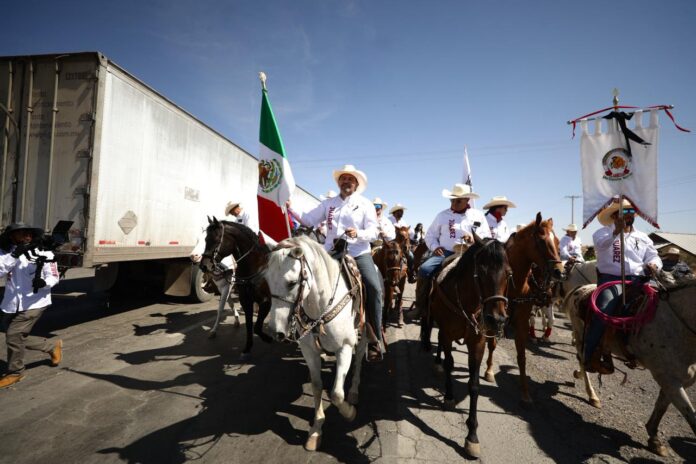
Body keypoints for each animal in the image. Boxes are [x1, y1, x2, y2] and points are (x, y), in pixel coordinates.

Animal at [199, 217, 273, 360]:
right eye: (206, 239)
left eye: (216, 240)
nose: (203, 266)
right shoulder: (244, 299)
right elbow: (249, 324)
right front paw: (247, 348)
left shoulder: (266, 300)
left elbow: (257, 327)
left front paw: (268, 338)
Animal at [264, 236, 368, 451]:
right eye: (267, 280)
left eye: (292, 283)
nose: (274, 332)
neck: (320, 309)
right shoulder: (309, 350)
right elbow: (317, 385)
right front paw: (316, 429)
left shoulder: (344, 348)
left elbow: (336, 394)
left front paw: (349, 412)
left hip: (364, 330)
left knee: (360, 358)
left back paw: (354, 391)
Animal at [419, 236, 511, 458]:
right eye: (481, 272)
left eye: (508, 273)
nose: (496, 320)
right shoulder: (447, 334)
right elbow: (450, 364)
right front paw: (449, 397)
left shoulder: (477, 343)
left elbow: (474, 385)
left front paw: (472, 436)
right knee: (430, 330)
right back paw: (434, 358)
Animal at [503, 213, 565, 403]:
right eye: (542, 241)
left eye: (558, 241)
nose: (560, 272)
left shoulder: (522, 322)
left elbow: (522, 358)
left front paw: (525, 393)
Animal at [562, 273, 696, 457]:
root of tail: (581, 288)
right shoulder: (669, 380)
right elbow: (691, 416)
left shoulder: (676, 381)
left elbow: (661, 406)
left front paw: (654, 439)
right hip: (582, 335)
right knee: (584, 360)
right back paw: (592, 394)